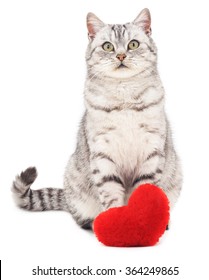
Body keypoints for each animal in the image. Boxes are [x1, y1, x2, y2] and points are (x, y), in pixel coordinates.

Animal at [12, 8, 182, 230]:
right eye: (108, 46)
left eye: (133, 44)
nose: (120, 55)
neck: (124, 96)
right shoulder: (103, 154)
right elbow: (111, 194)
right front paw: (116, 223)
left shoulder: (151, 152)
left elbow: (145, 193)